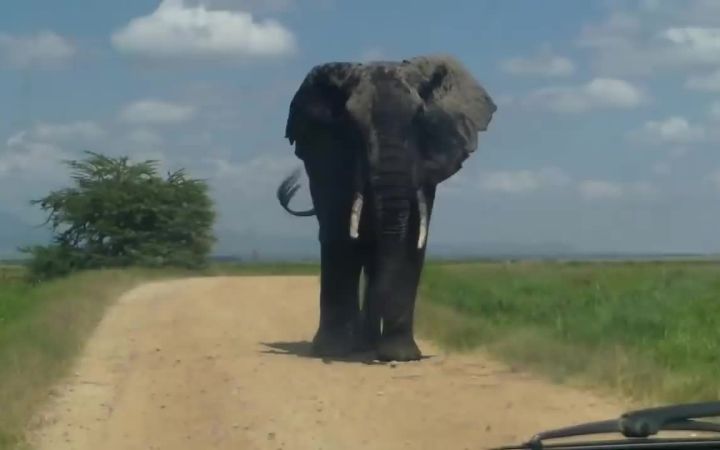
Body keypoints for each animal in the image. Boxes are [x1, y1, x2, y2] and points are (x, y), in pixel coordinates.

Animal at [276, 54, 496, 362]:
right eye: (352, 124)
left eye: (420, 119)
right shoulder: (328, 155)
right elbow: (339, 238)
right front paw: (334, 351)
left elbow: (412, 239)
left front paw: (400, 356)